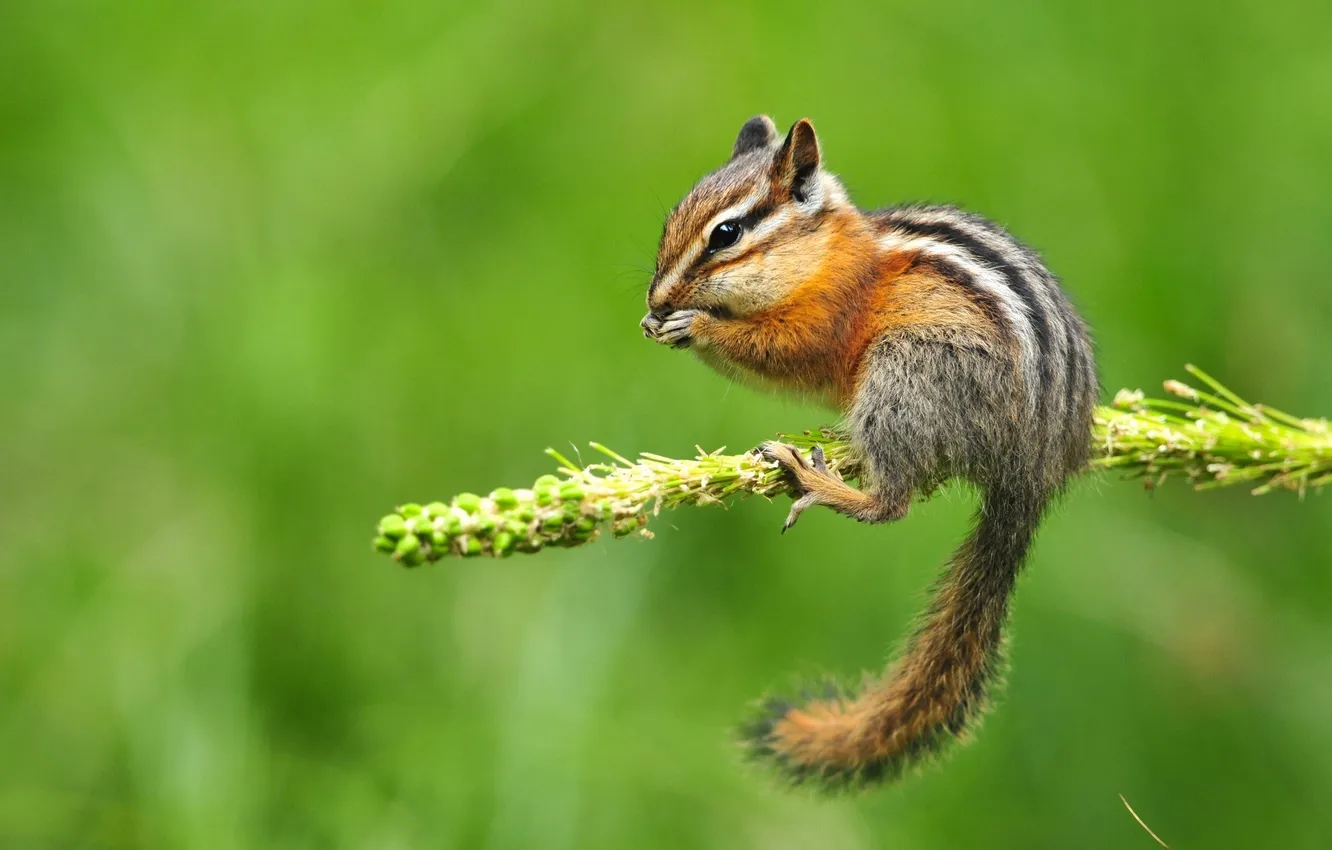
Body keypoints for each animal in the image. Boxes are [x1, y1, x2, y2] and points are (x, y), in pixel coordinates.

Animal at [640, 116, 1096, 789]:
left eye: (726, 233)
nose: (655, 302)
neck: (825, 258)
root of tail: (1033, 467)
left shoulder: (827, 318)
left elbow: (786, 350)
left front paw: (694, 326)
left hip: (906, 375)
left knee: (891, 504)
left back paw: (816, 482)